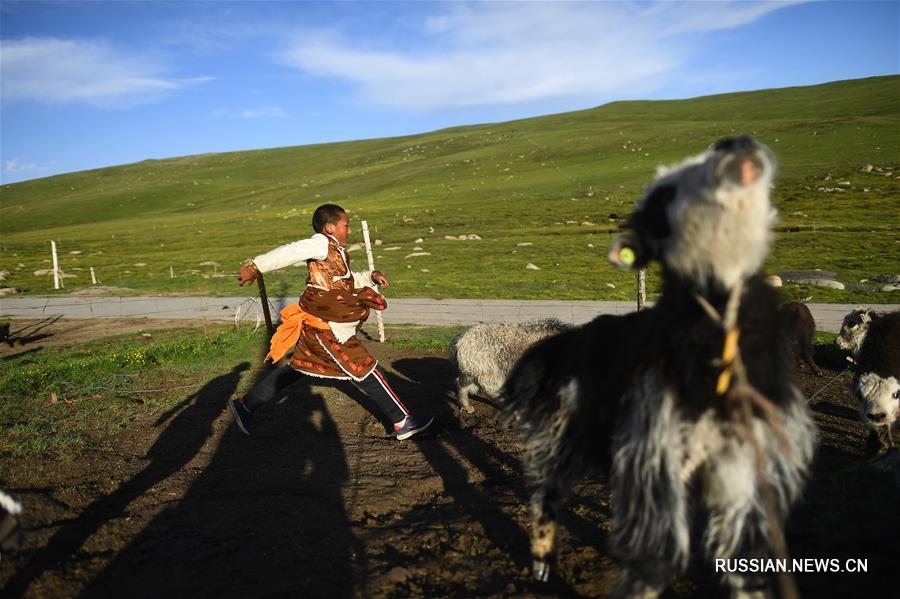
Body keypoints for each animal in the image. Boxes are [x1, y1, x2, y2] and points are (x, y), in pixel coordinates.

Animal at [506, 138, 816, 596]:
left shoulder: (740, 469)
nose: (735, 143)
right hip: (567, 433)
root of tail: (569, 339)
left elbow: (742, 563)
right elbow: (655, 559)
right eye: (663, 193)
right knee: (545, 492)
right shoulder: (657, 459)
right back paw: (542, 563)